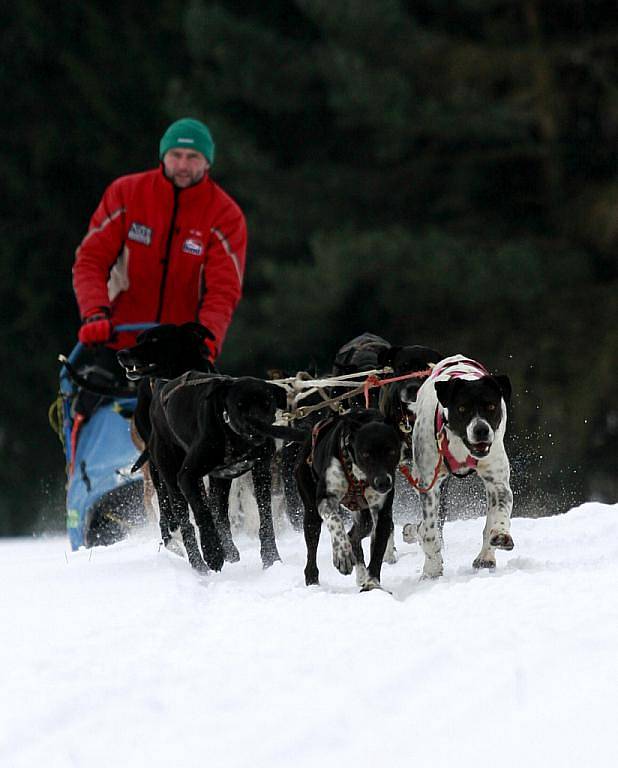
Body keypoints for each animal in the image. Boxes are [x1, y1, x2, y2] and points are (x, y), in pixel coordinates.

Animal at [145, 368, 308, 572]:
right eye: (239, 405)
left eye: (266, 404)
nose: (256, 426)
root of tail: (161, 390)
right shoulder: (187, 476)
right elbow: (202, 512)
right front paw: (212, 552)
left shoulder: (261, 469)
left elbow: (265, 516)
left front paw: (271, 557)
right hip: (172, 478)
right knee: (186, 523)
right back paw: (199, 564)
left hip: (221, 480)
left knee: (219, 513)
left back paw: (229, 550)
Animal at [294, 408, 400, 592]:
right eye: (365, 454)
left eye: (391, 451)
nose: (383, 482)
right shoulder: (325, 499)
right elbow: (335, 521)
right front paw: (342, 554)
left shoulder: (382, 512)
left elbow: (378, 550)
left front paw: (372, 583)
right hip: (311, 514)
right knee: (312, 550)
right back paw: (313, 581)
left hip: (364, 518)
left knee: (354, 536)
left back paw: (361, 575)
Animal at [412, 354, 512, 576]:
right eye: (462, 408)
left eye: (491, 407)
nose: (481, 430)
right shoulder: (429, 484)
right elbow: (430, 531)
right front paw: (432, 569)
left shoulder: (497, 482)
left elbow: (500, 509)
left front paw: (500, 533)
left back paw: (486, 557)